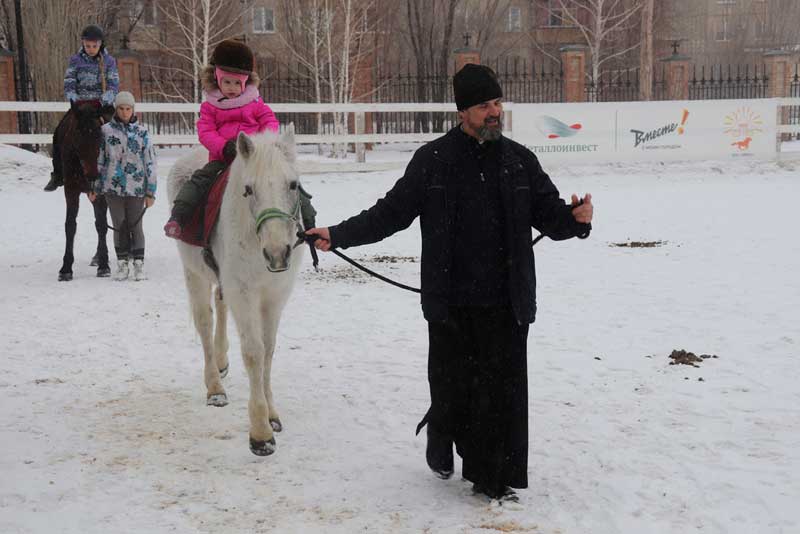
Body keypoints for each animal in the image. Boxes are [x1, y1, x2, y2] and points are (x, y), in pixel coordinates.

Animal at [56, 102, 111, 282]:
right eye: (78, 134)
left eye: (99, 134)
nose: (93, 175)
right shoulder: (70, 191)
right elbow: (70, 225)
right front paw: (66, 268)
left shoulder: (101, 194)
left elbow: (101, 225)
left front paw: (104, 265)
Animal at [167, 129, 304, 456]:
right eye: (249, 189)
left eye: (293, 184)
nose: (278, 253)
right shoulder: (244, 293)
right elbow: (254, 352)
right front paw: (260, 433)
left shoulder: (275, 296)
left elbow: (268, 350)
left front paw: (272, 415)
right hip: (194, 274)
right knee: (205, 323)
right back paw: (215, 388)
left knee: (220, 306)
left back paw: (221, 361)